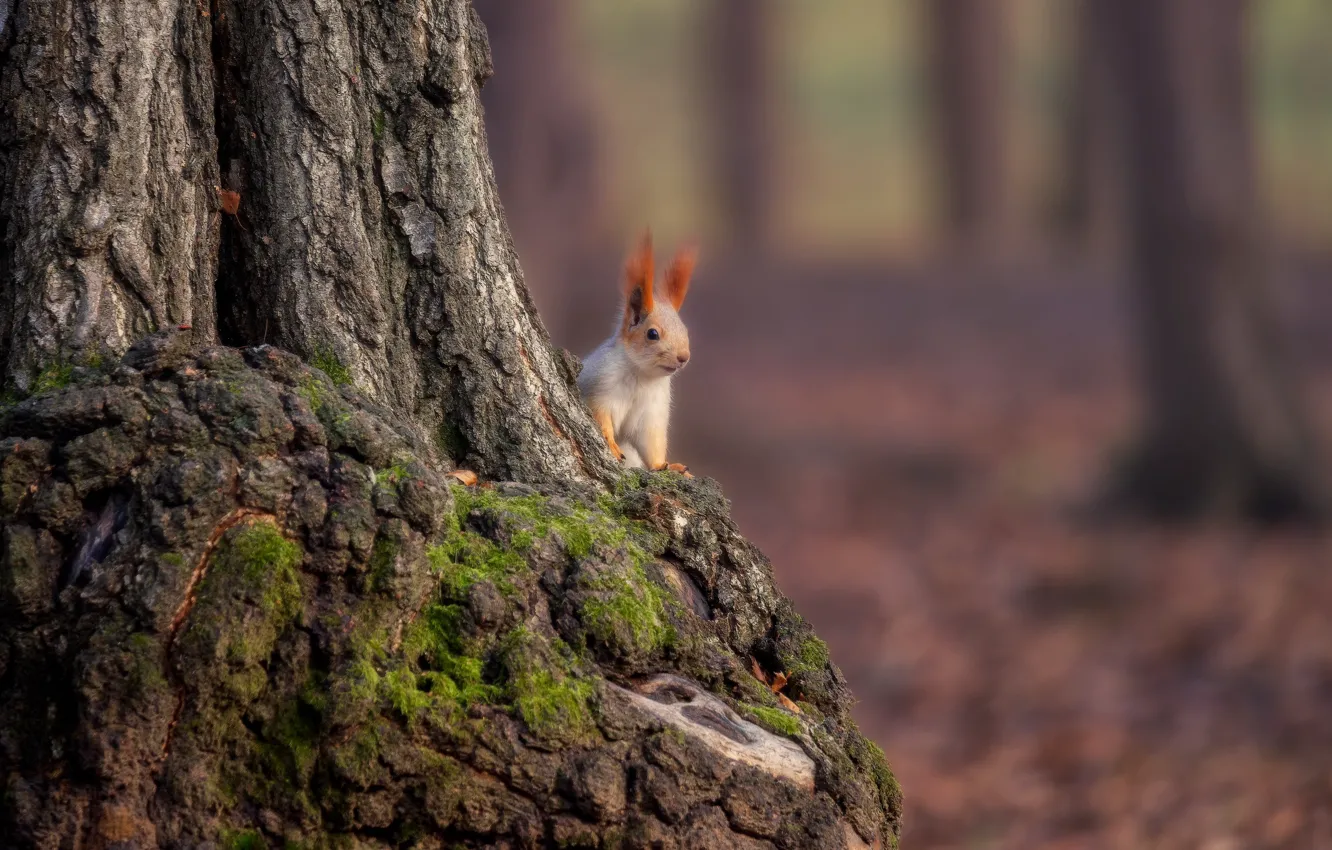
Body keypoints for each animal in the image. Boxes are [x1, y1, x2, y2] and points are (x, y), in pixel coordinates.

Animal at [578, 229, 697, 476]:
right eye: (652, 334)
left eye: (685, 330)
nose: (684, 357)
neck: (642, 376)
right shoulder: (599, 387)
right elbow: (600, 416)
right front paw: (611, 443)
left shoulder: (652, 413)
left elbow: (651, 444)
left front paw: (665, 465)